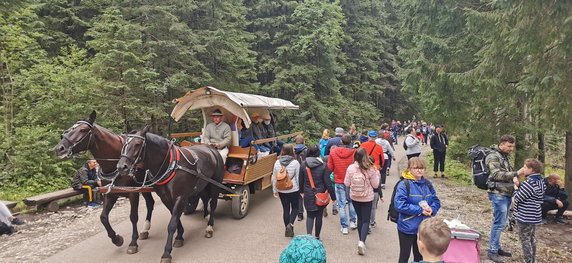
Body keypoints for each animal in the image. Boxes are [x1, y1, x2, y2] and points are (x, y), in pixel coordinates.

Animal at [54, 112, 155, 256]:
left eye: (83, 130)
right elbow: (103, 217)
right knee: (150, 203)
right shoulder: (110, 193)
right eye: (71, 127)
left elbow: (133, 217)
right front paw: (116, 239)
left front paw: (133, 243)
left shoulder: (133, 193)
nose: (59, 148)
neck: (115, 162)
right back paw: (145, 230)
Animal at [116, 127, 223, 262]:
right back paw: (206, 216)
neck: (171, 165)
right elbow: (175, 219)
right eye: (124, 143)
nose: (121, 167)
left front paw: (167, 253)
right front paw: (179, 236)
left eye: (138, 144)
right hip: (202, 184)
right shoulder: (166, 198)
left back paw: (210, 226)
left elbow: (172, 224)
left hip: (215, 184)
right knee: (204, 198)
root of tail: (211, 149)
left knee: (213, 203)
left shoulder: (180, 197)